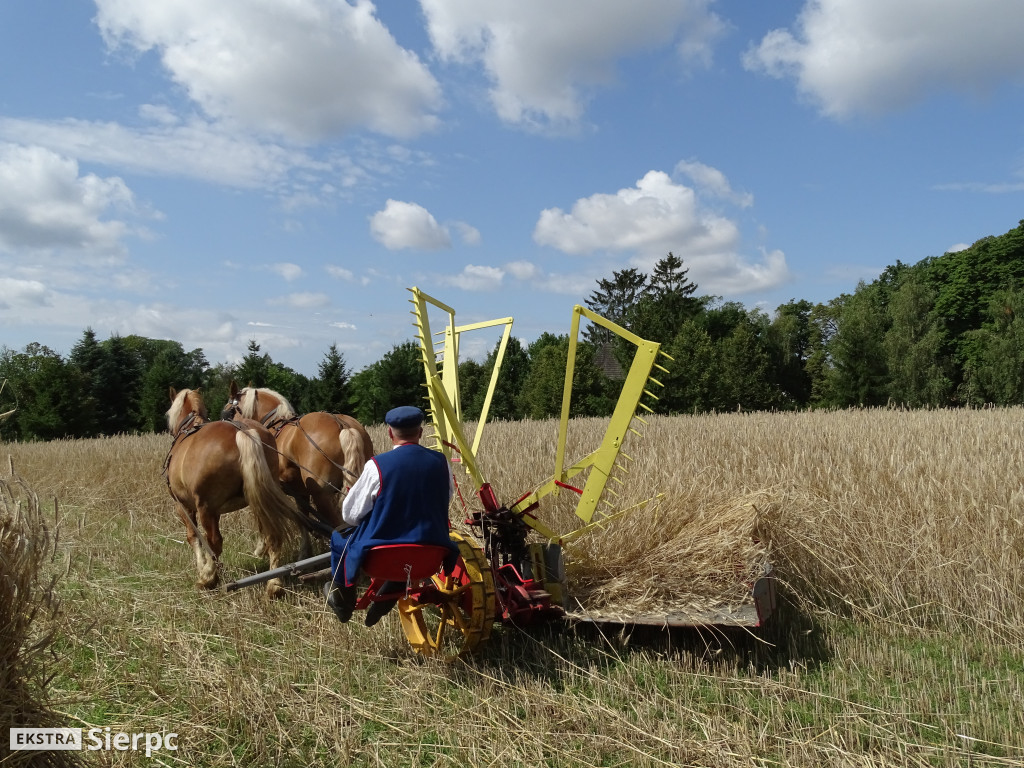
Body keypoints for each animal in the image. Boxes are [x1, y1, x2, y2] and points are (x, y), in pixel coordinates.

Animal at [163, 387, 299, 598]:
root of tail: (244, 431)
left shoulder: (184, 506)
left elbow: (194, 537)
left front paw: (202, 568)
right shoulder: (216, 510)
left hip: (206, 508)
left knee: (215, 542)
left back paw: (208, 578)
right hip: (263, 497)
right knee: (273, 535)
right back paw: (274, 584)